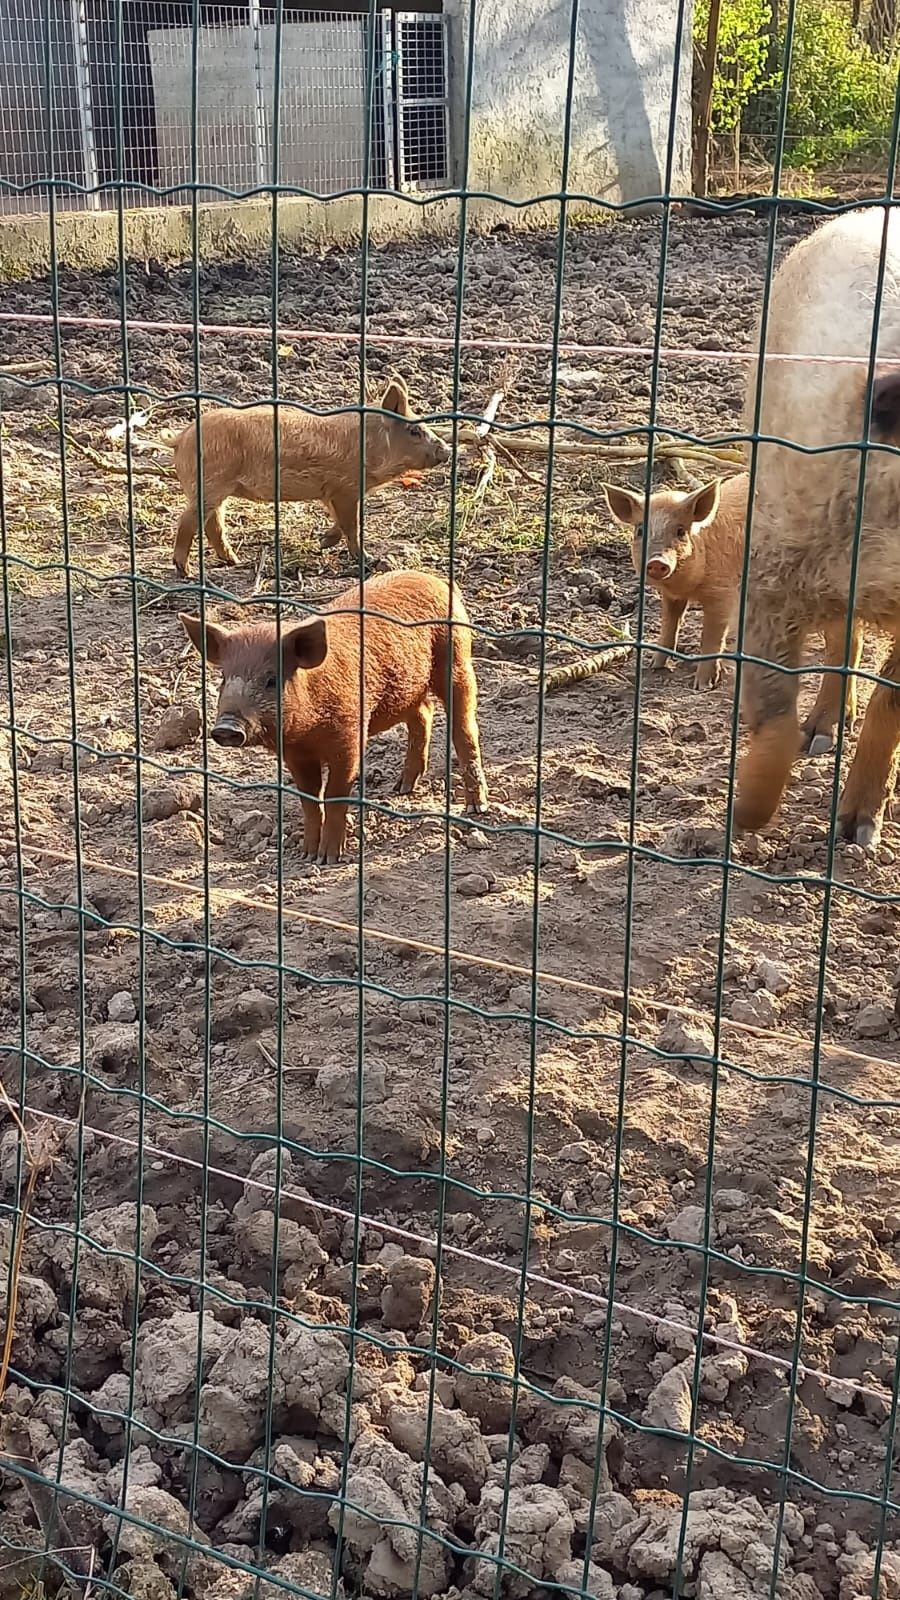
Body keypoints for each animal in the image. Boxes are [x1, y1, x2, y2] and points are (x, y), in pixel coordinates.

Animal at [733, 212, 896, 851]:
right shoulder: (771, 562)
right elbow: (772, 714)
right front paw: (741, 818)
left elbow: (890, 702)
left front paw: (858, 833)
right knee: (839, 635)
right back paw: (821, 733)